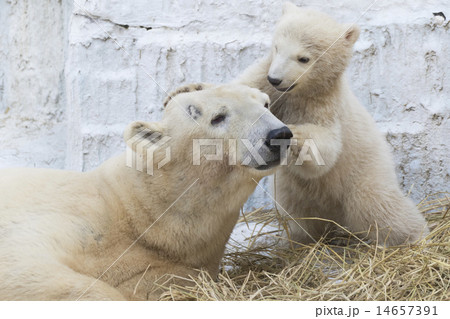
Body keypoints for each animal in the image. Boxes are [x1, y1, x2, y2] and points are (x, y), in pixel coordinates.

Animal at [0, 84, 292, 302]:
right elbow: (24, 262)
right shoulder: (74, 214)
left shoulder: (169, 268)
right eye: (217, 117)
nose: (279, 134)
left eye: (265, 104)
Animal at [234, 3, 428, 245]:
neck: (298, 93)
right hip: (292, 190)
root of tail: (335, 215)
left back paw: (415, 235)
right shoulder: (263, 79)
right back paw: (298, 238)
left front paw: (295, 133)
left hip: (364, 175)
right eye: (277, 47)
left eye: (303, 58)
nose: (276, 78)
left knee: (378, 207)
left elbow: (326, 147)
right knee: (297, 212)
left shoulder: (325, 104)